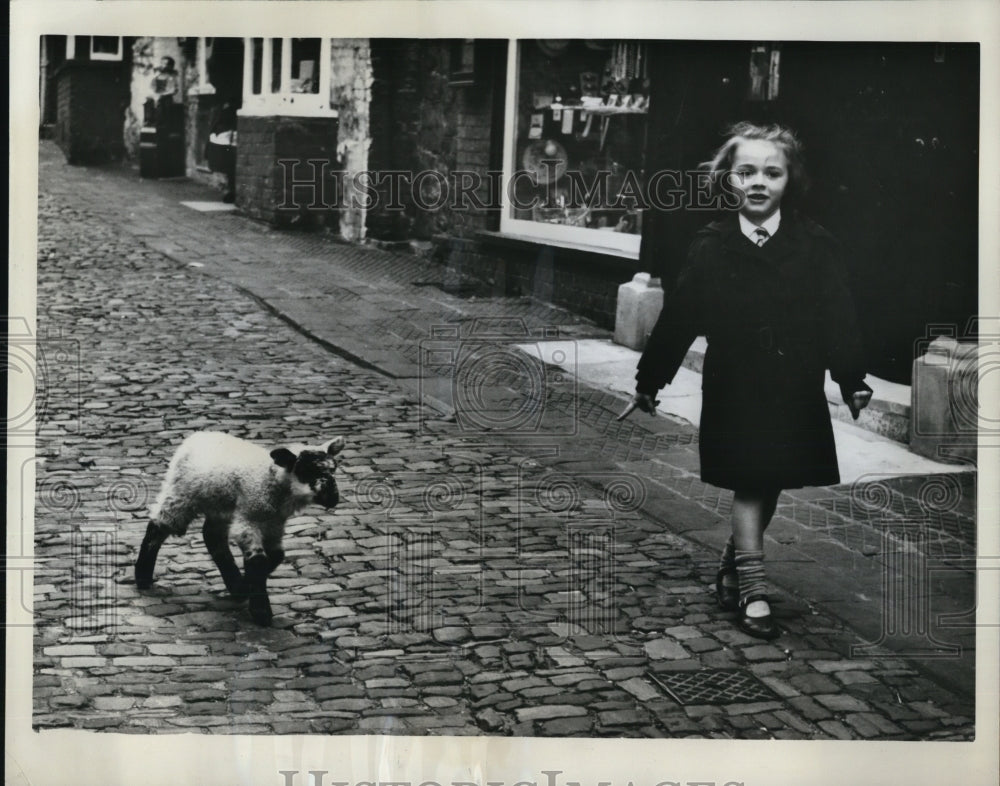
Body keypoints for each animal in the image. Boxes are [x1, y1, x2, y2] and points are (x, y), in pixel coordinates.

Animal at [134, 428, 344, 624]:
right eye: (307, 471)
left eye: (333, 470)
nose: (333, 497)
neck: (270, 480)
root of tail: (198, 435)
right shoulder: (249, 517)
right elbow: (258, 560)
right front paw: (261, 612)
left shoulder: (274, 525)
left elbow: (277, 556)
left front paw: (245, 588)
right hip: (181, 494)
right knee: (157, 526)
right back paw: (142, 577)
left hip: (219, 505)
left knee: (212, 537)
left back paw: (234, 585)